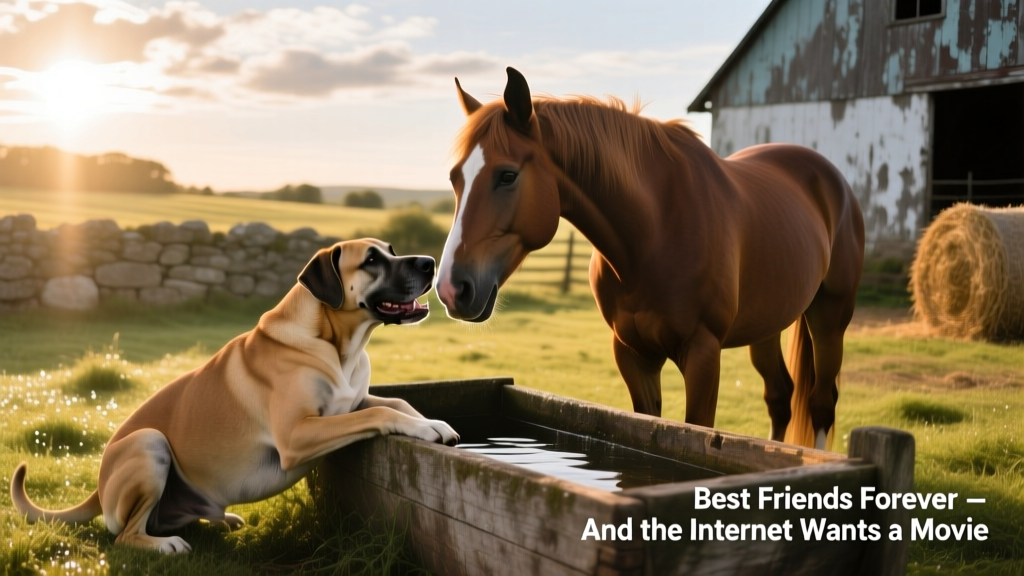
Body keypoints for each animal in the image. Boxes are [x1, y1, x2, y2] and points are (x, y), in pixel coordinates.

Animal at [435, 67, 864, 450]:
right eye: (455, 178)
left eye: (507, 175)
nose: (451, 289)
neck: (655, 234)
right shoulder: (632, 354)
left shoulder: (703, 353)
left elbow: (700, 428)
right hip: (766, 326)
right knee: (780, 396)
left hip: (830, 317)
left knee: (821, 402)